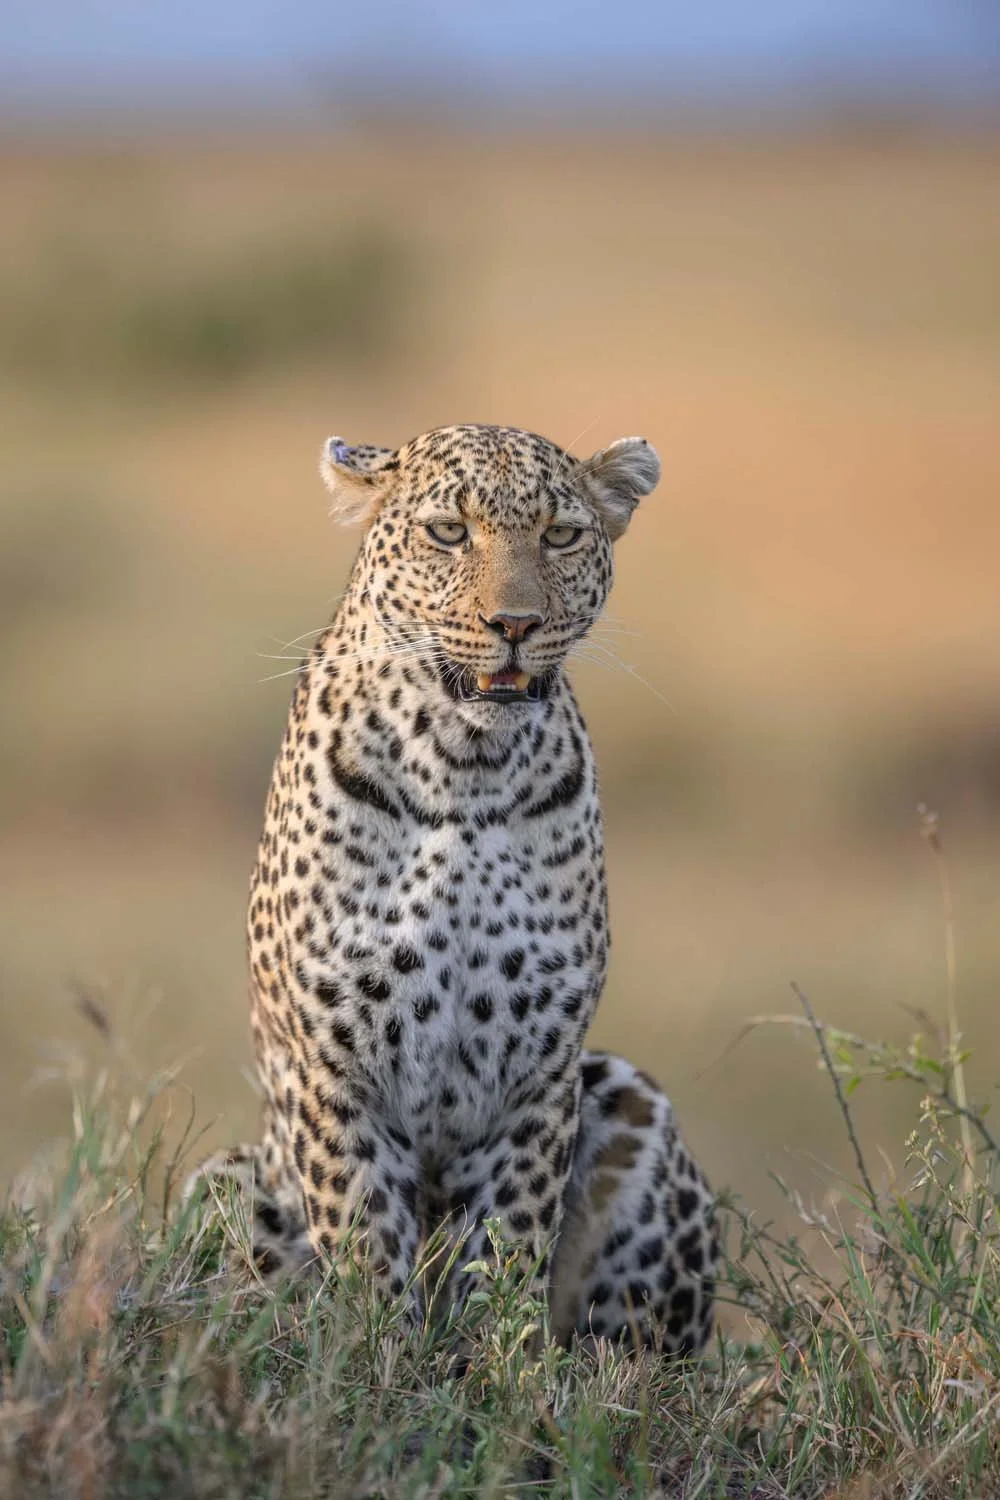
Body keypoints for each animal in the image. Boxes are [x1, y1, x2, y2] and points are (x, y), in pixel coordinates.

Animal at [191, 422, 717, 1354]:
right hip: (225, 1176)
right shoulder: (336, 1069)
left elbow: (509, 1245)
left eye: (561, 535)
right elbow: (365, 1241)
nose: (515, 624)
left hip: (630, 1097)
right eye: (447, 532)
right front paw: (384, 1361)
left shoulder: (539, 1075)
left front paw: (502, 1368)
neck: (464, 768)